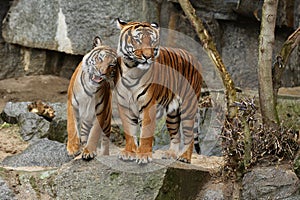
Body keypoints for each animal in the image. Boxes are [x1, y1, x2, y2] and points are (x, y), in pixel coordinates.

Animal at [116, 18, 203, 163]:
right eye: (137, 40)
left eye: (152, 41)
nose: (147, 56)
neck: (131, 69)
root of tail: (194, 58)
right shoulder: (124, 106)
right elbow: (129, 131)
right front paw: (129, 153)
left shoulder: (148, 105)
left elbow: (145, 133)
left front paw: (143, 156)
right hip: (172, 114)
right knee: (176, 135)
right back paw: (170, 154)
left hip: (188, 106)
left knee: (189, 135)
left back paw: (184, 157)